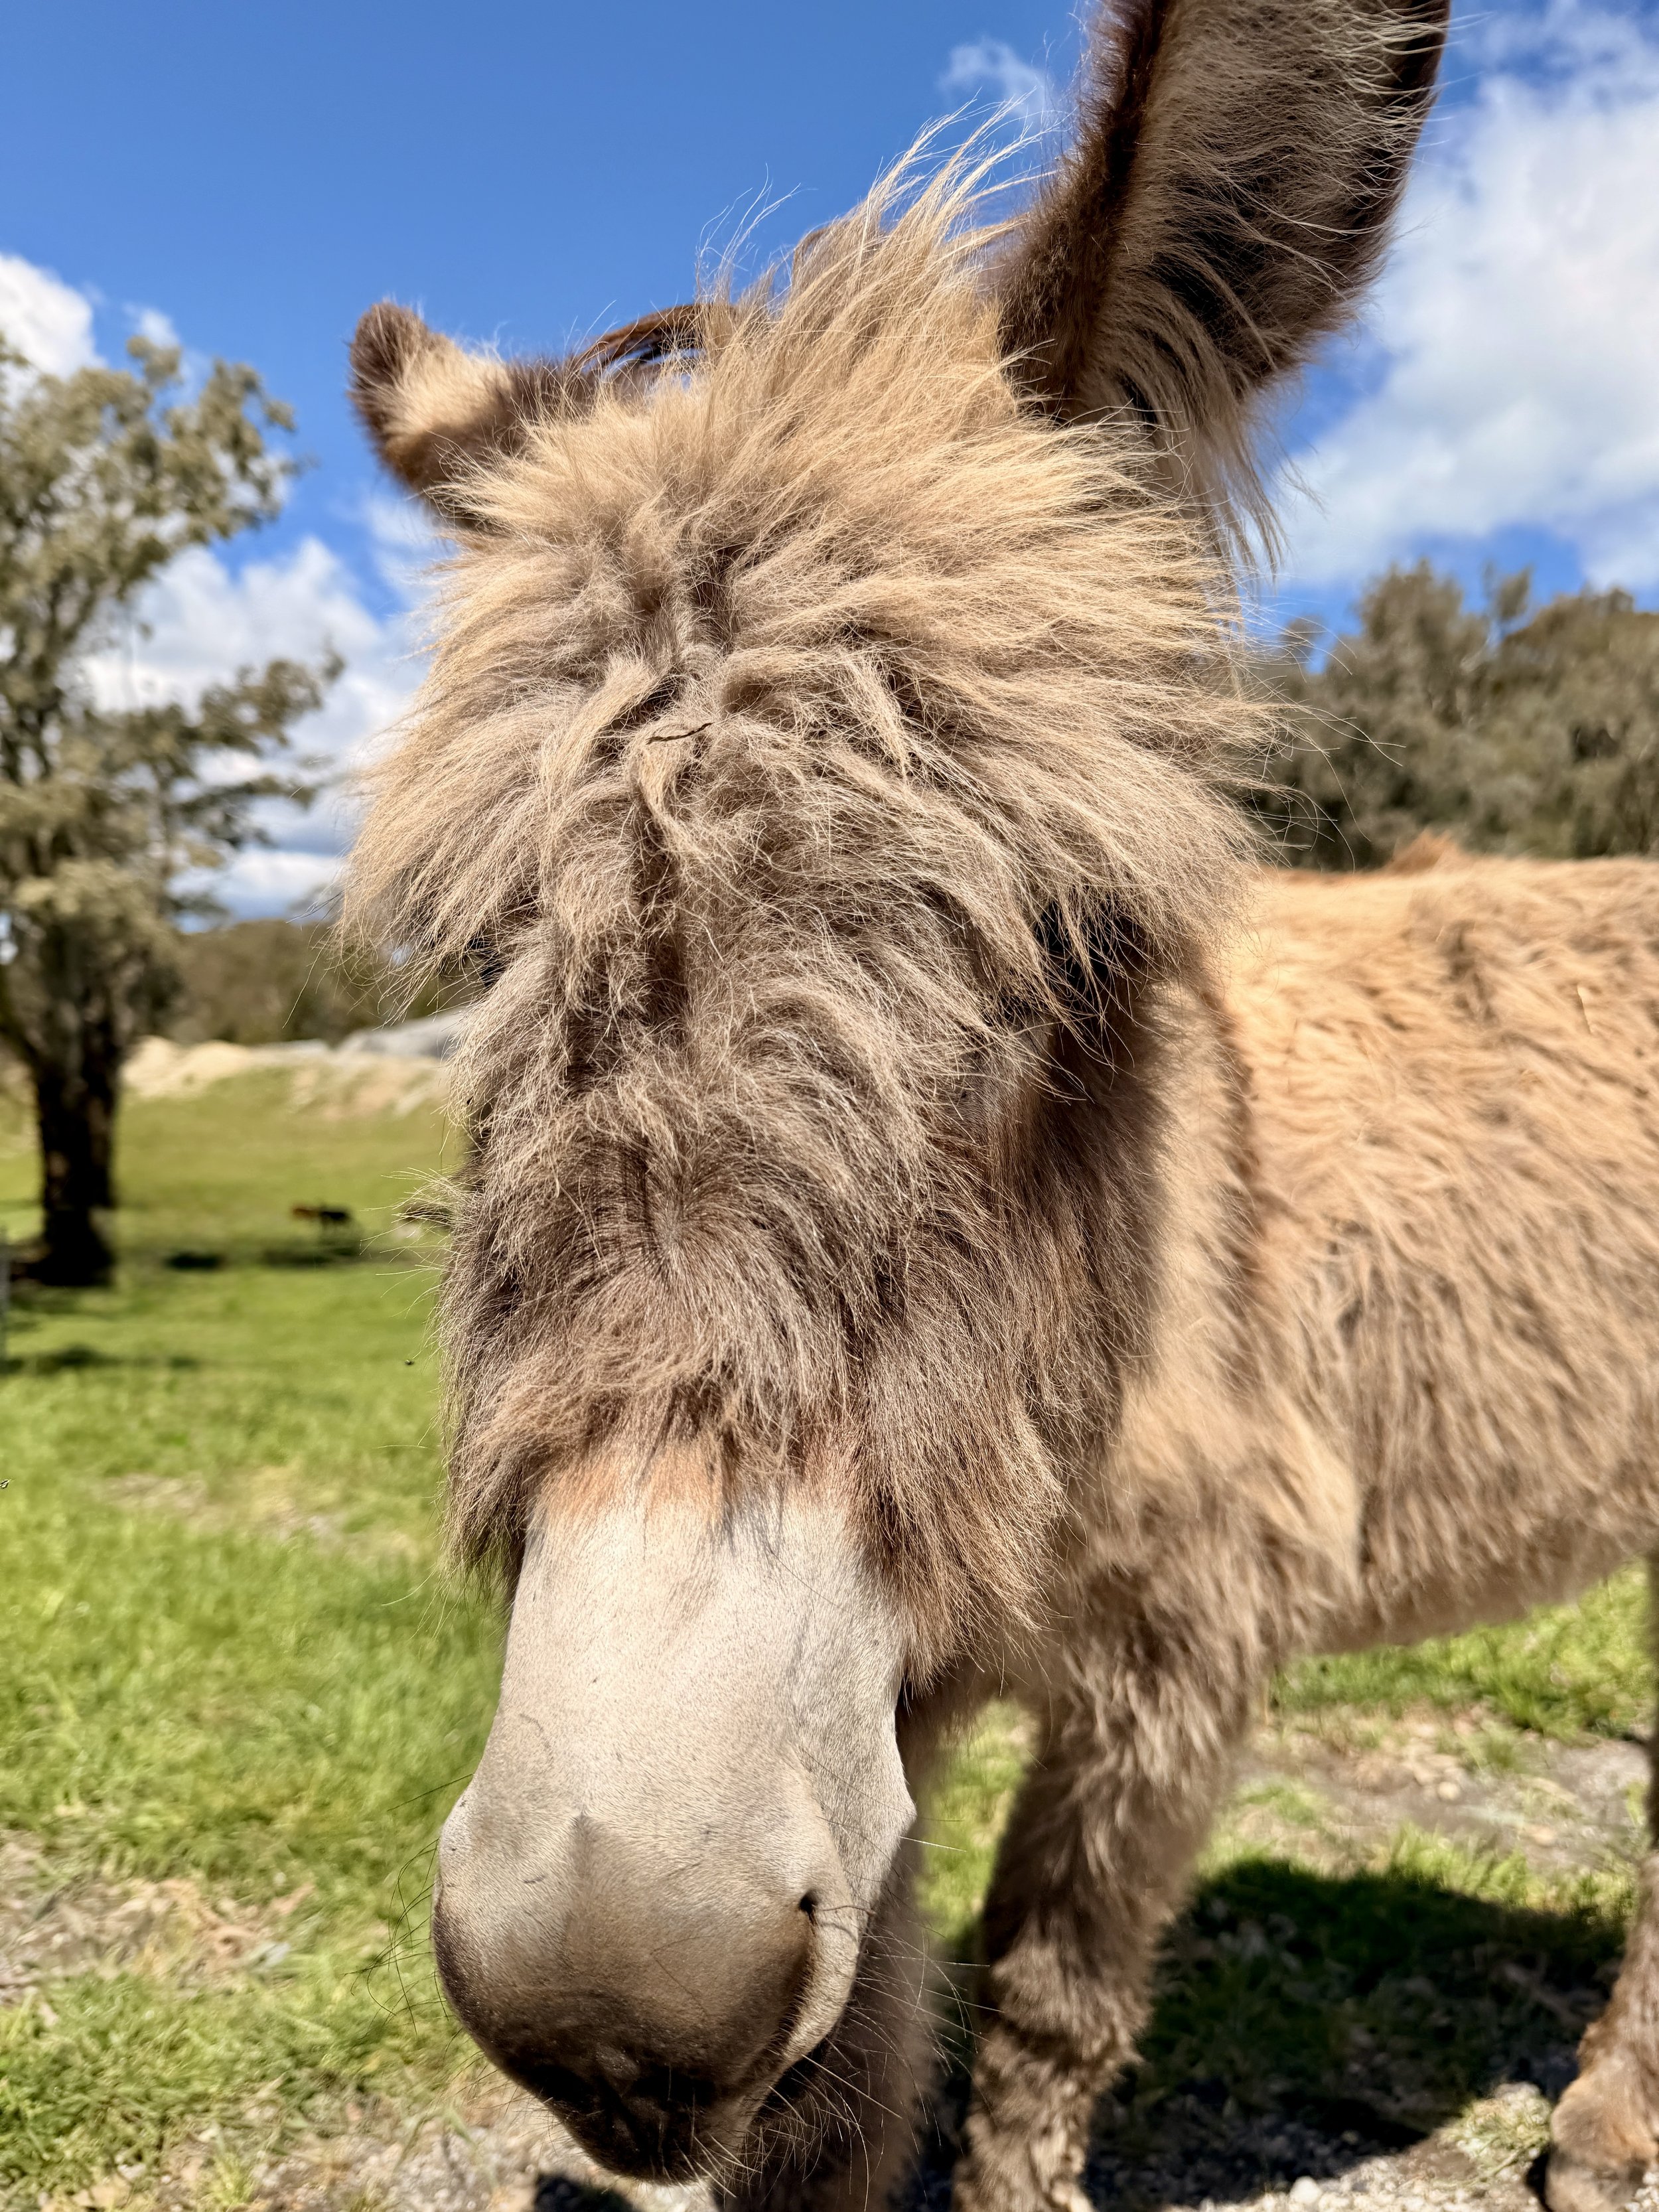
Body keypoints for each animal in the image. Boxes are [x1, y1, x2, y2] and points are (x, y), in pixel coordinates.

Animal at [344, 3, 1659, 2206]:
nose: (613, 1999)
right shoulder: (878, 1690)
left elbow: (1042, 2006)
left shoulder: (1179, 1656)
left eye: (1080, 941)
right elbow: (840, 2089)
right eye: (479, 958)